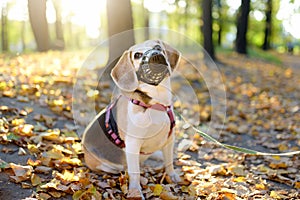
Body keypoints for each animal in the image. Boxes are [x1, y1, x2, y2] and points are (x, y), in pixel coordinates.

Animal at [82, 39, 180, 198]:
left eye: (158, 47)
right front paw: (135, 191)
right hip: (106, 165)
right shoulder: (133, 143)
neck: (156, 103)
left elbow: (169, 162)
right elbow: (135, 172)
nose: (155, 54)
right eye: (137, 55)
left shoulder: (169, 139)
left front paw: (172, 176)